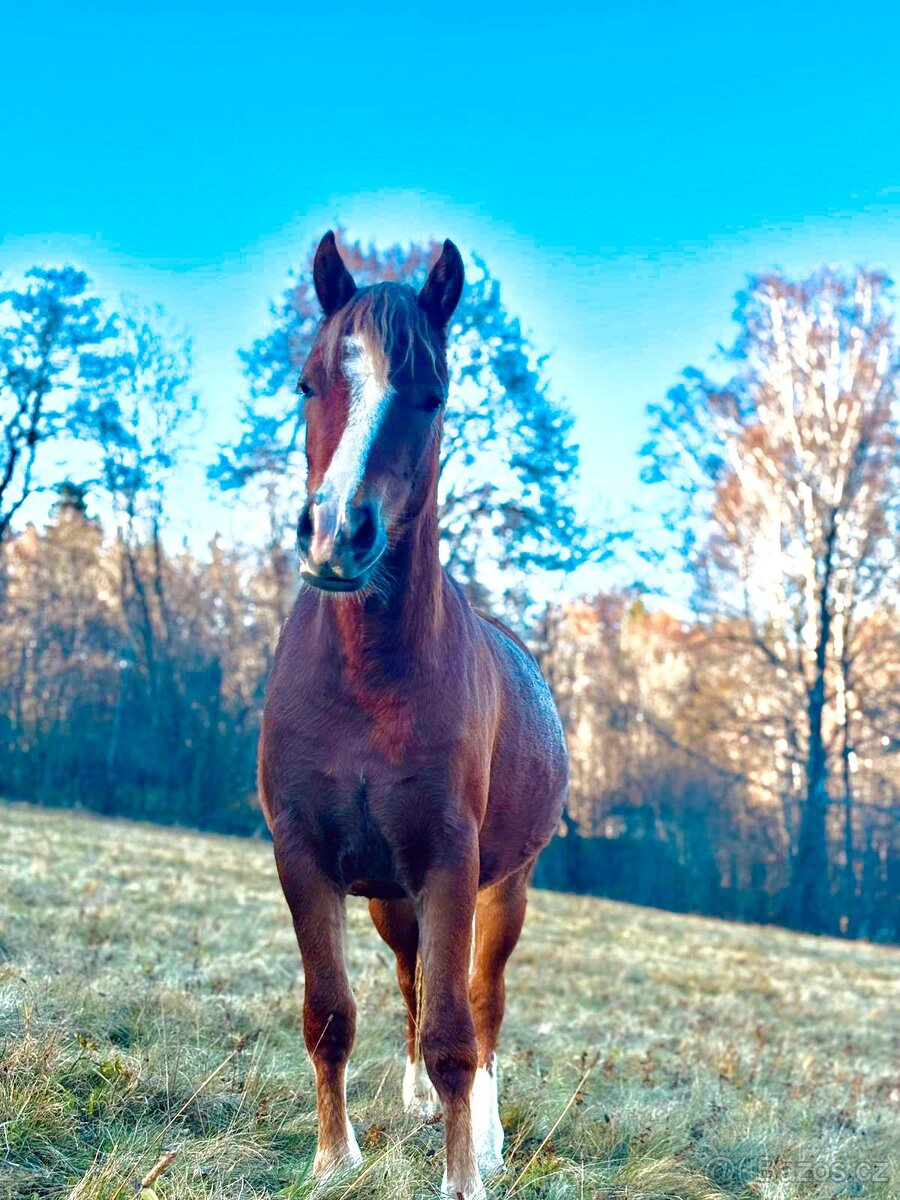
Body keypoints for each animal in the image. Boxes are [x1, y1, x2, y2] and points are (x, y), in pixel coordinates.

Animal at [258, 231, 568, 1199]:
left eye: (431, 396)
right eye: (308, 381)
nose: (337, 536)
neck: (367, 679)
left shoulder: (450, 866)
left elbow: (456, 1032)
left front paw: (465, 1176)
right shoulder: (305, 857)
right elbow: (331, 1013)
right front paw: (334, 1159)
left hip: (502, 888)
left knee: (481, 1001)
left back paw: (487, 1132)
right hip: (391, 899)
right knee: (406, 981)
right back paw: (421, 1103)